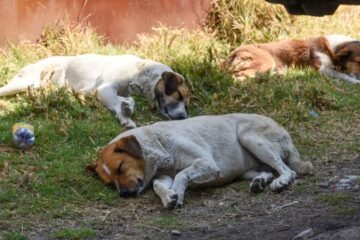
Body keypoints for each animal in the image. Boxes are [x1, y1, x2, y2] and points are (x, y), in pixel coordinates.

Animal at [0, 54, 190, 127]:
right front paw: (126, 117)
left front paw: (127, 107)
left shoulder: (116, 91)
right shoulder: (104, 89)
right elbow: (120, 103)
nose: (183, 117)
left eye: (186, 104)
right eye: (179, 94)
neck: (140, 72)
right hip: (23, 83)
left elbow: (127, 100)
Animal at [86, 113, 314, 209]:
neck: (157, 144)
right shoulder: (163, 176)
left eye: (121, 167)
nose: (124, 194)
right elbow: (160, 186)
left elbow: (182, 174)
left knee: (287, 170)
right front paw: (168, 197)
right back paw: (259, 182)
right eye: (110, 183)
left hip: (250, 138)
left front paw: (178, 194)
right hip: (246, 168)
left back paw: (281, 181)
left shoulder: (206, 164)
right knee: (266, 171)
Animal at [225, 34, 360, 84]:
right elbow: (343, 75)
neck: (332, 49)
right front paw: (355, 81)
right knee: (238, 76)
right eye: (358, 61)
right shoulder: (323, 69)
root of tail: (232, 54)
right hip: (267, 61)